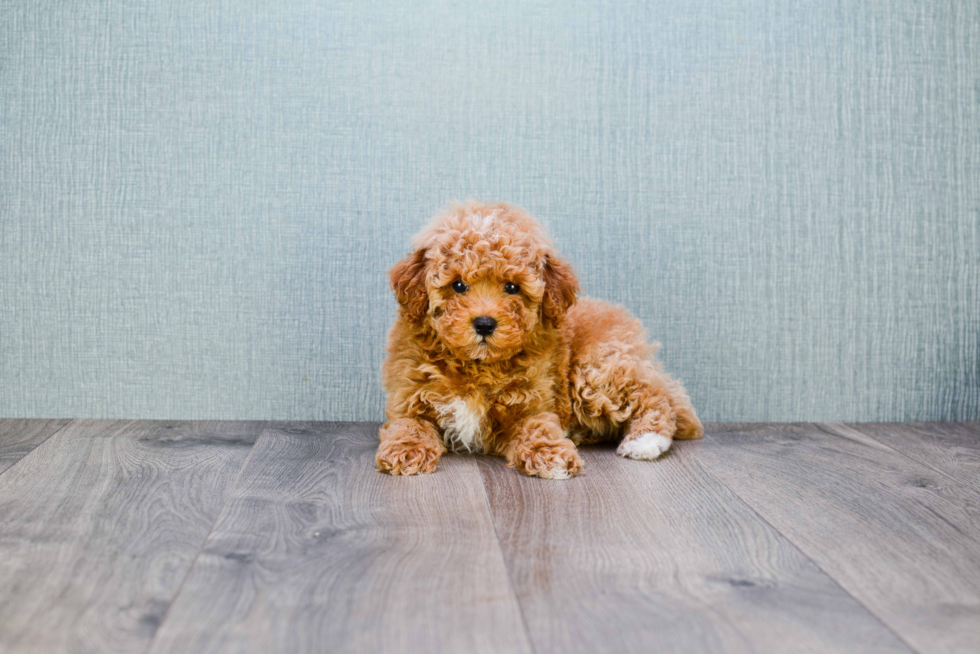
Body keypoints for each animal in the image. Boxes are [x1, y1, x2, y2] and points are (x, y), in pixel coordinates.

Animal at [378, 202, 704, 480]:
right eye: (458, 285)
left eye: (512, 288)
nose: (484, 323)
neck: (477, 365)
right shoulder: (409, 397)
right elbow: (409, 424)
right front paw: (406, 451)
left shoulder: (534, 402)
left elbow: (539, 427)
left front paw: (551, 455)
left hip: (596, 368)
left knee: (655, 396)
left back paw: (645, 440)